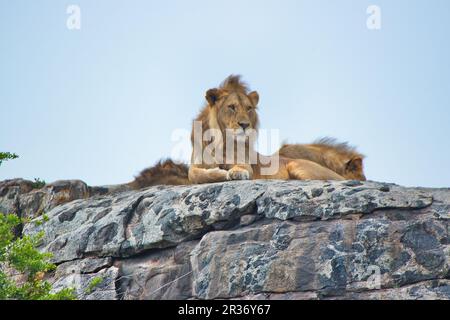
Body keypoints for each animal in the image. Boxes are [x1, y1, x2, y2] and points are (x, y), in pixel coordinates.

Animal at [186, 75, 344, 184]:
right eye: (231, 107)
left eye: (249, 108)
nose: (245, 125)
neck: (221, 141)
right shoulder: (195, 165)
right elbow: (194, 175)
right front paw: (219, 172)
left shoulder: (246, 164)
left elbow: (241, 167)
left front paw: (235, 172)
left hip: (296, 165)